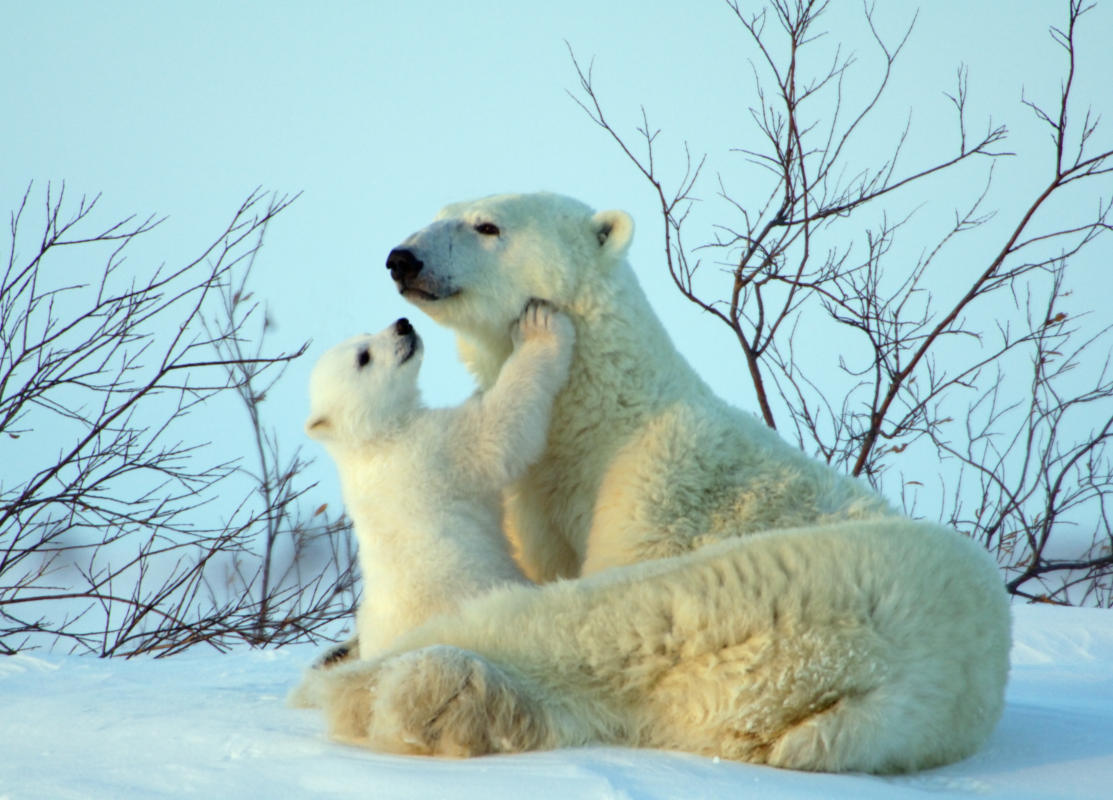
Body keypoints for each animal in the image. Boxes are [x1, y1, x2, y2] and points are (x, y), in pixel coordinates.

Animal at [300, 302, 569, 658]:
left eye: (364, 334)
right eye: (364, 357)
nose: (402, 325)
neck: (374, 441)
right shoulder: (433, 450)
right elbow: (498, 432)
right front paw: (539, 329)